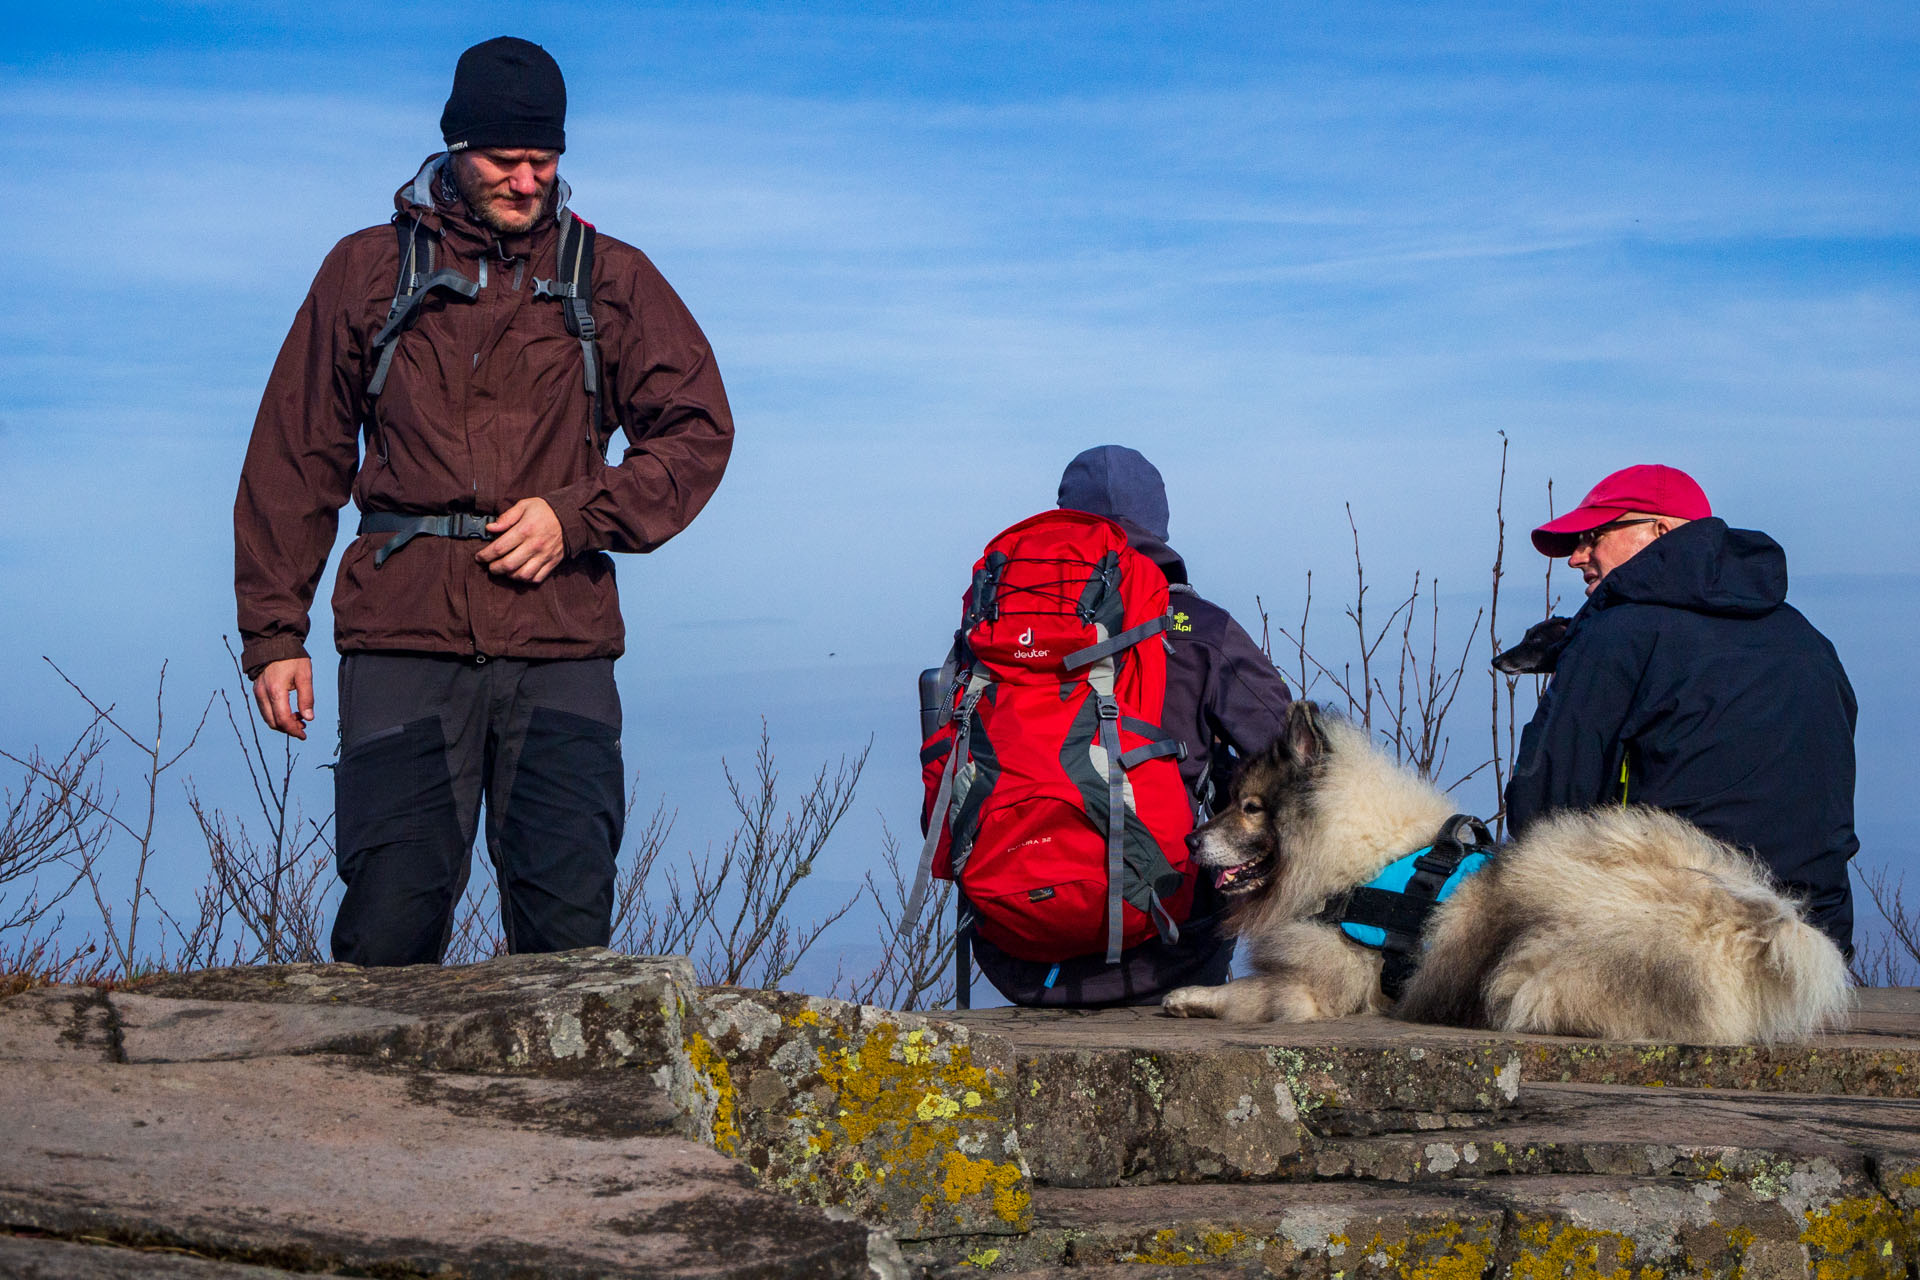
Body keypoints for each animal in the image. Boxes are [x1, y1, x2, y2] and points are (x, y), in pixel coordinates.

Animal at [1159, 702, 1850, 1043]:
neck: (1354, 863)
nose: (1190, 838)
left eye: (1250, 808)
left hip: (1531, 970)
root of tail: (1740, 926)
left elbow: (1252, 995)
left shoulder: (1313, 989)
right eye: (1229, 800)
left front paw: (1189, 998)